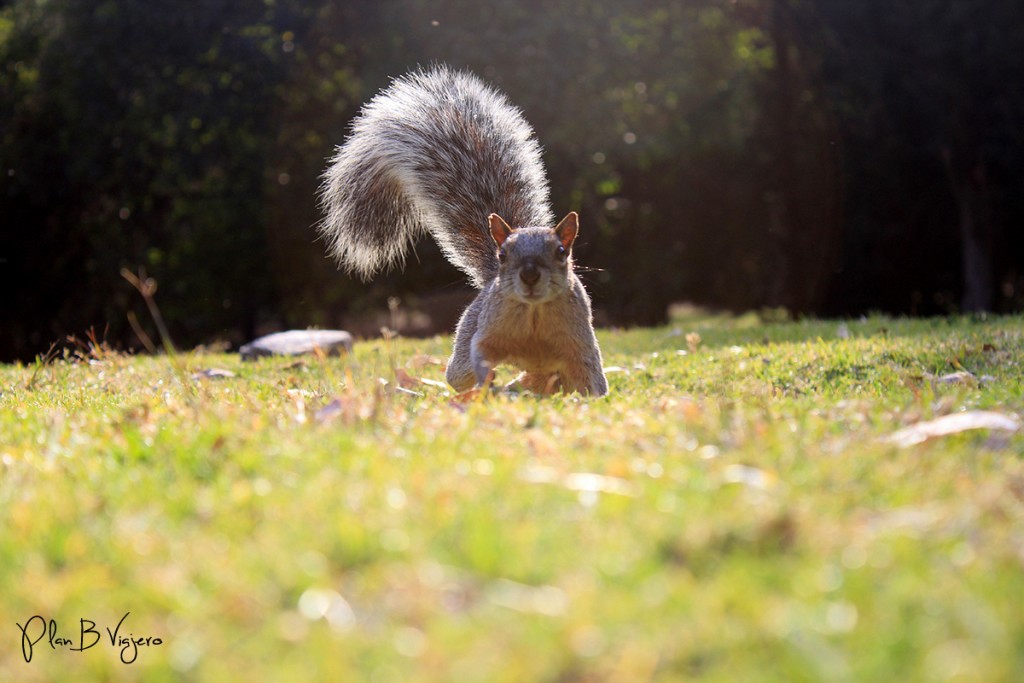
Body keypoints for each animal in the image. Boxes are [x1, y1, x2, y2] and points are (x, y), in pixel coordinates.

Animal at [319, 66, 606, 397]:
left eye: (562, 252)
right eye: (503, 254)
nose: (530, 274)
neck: (533, 313)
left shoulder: (581, 345)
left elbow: (593, 381)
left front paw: (594, 401)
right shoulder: (483, 334)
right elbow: (480, 356)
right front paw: (488, 385)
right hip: (468, 335)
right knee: (460, 375)